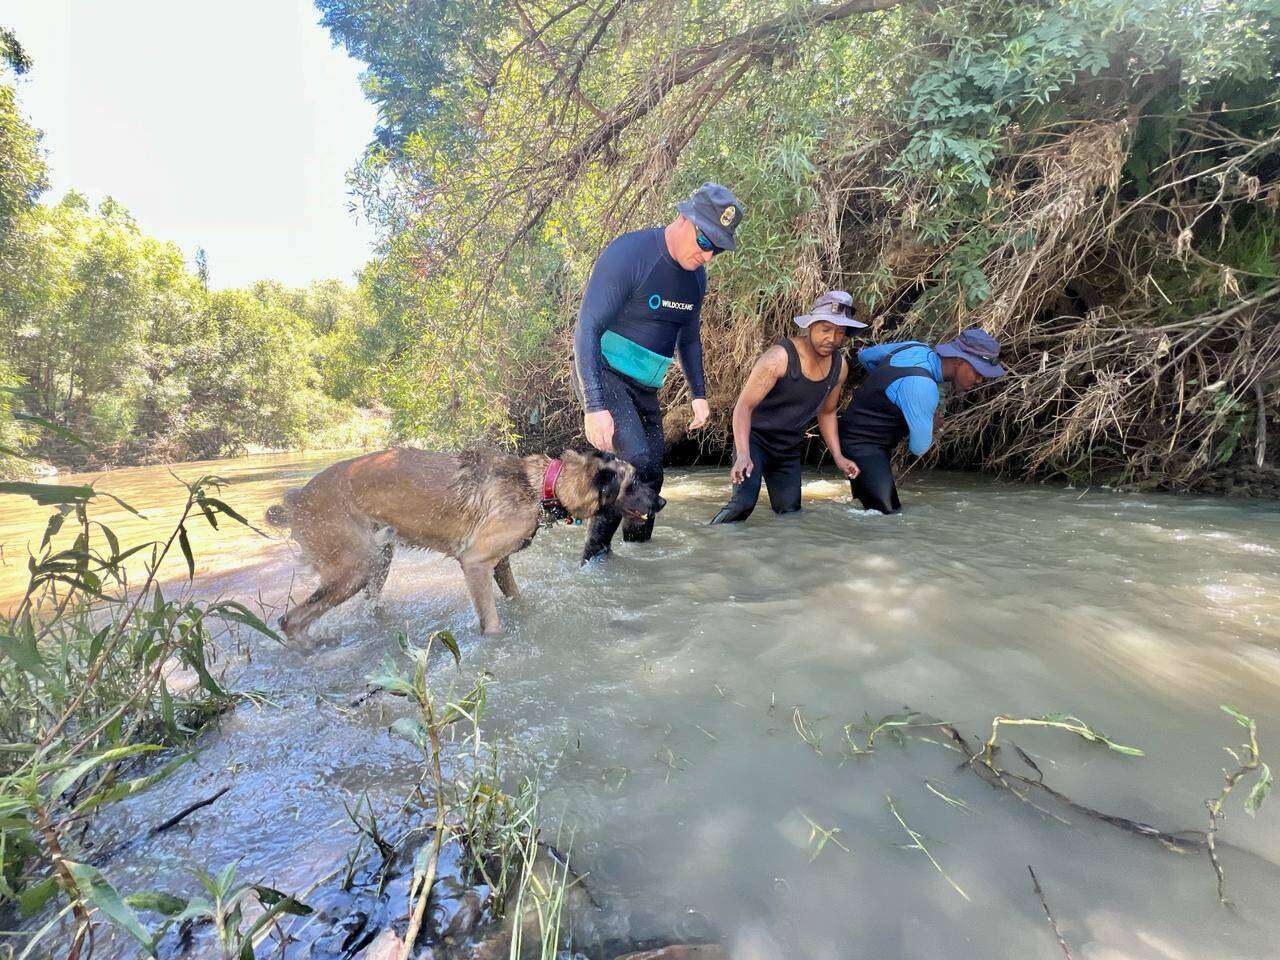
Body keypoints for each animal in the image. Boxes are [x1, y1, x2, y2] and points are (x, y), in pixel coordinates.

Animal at [264, 450, 655, 640]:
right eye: (635, 481)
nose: (662, 502)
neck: (542, 484)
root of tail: (296, 499)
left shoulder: (500, 563)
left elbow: (518, 599)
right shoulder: (476, 562)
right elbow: (492, 623)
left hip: (378, 560)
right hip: (355, 568)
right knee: (290, 620)